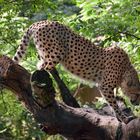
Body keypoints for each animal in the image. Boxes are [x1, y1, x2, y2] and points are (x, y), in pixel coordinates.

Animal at [12, 20, 140, 123]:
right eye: (138, 93)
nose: (137, 103)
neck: (125, 69)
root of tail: (41, 22)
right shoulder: (105, 86)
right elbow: (114, 104)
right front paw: (124, 118)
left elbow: (112, 103)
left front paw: (119, 118)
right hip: (57, 53)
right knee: (41, 68)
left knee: (39, 66)